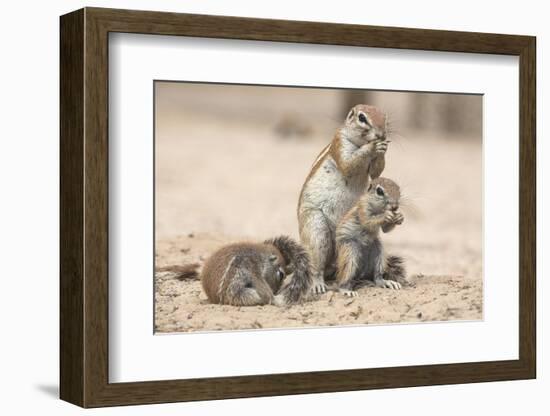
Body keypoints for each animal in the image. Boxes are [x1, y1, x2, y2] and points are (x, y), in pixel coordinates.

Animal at [300, 104, 390, 294]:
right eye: (362, 118)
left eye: (385, 118)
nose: (381, 135)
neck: (360, 142)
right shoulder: (340, 143)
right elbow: (349, 164)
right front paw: (373, 146)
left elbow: (376, 172)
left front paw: (382, 148)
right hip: (316, 228)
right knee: (316, 265)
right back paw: (318, 284)